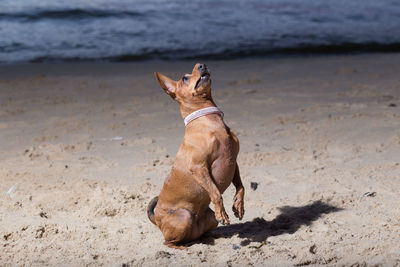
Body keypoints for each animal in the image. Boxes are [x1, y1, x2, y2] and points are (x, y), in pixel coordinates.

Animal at [148, 62, 245, 249]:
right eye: (185, 78)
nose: (202, 64)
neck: (210, 122)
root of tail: (156, 219)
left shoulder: (234, 162)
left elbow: (241, 187)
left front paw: (239, 204)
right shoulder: (199, 167)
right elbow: (216, 193)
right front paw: (223, 213)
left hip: (209, 219)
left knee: (198, 236)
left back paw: (212, 237)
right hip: (184, 217)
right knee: (168, 242)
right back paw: (181, 247)